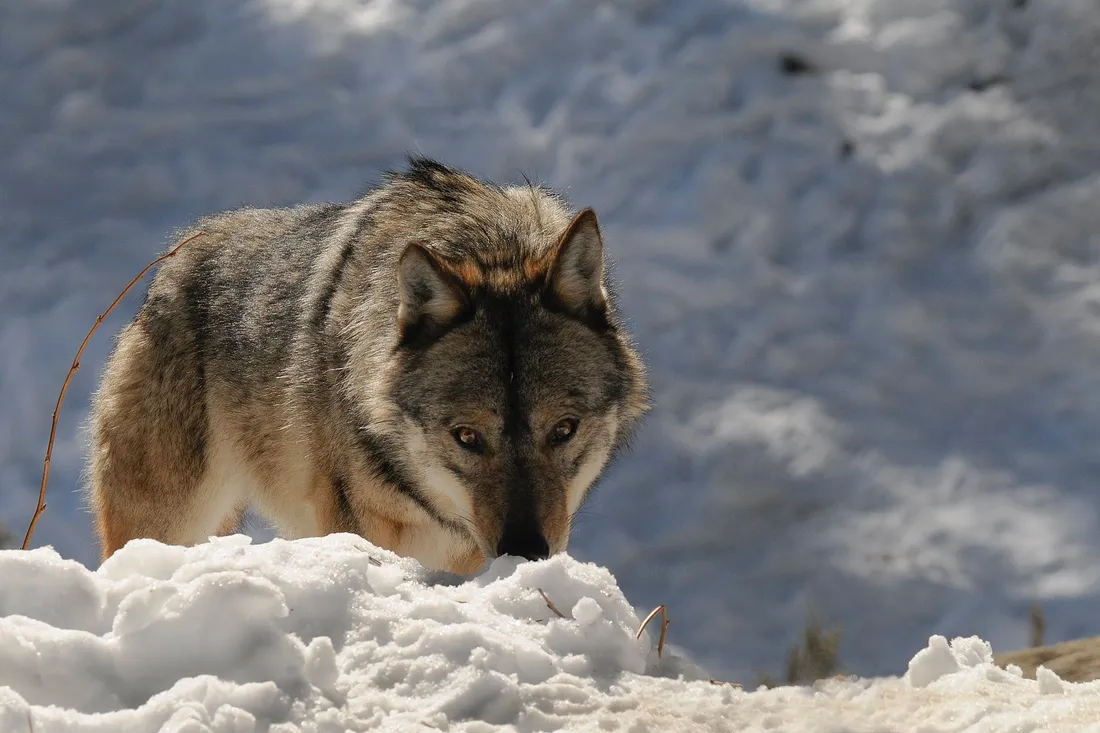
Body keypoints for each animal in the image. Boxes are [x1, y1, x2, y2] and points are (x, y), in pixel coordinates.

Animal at [88, 157, 649, 574]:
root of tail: (171, 262)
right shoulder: (357, 528)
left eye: (564, 429)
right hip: (166, 525)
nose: (526, 551)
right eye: (467, 436)